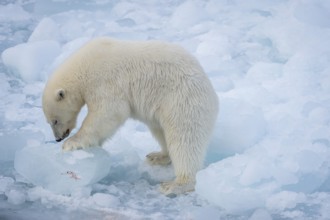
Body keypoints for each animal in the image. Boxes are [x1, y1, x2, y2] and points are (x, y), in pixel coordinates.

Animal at [43, 37, 219, 194]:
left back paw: (176, 184)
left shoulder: (104, 81)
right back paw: (157, 156)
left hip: (182, 101)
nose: (58, 138)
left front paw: (72, 143)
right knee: (160, 130)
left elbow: (108, 112)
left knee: (184, 139)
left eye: (55, 121)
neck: (83, 66)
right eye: (49, 122)